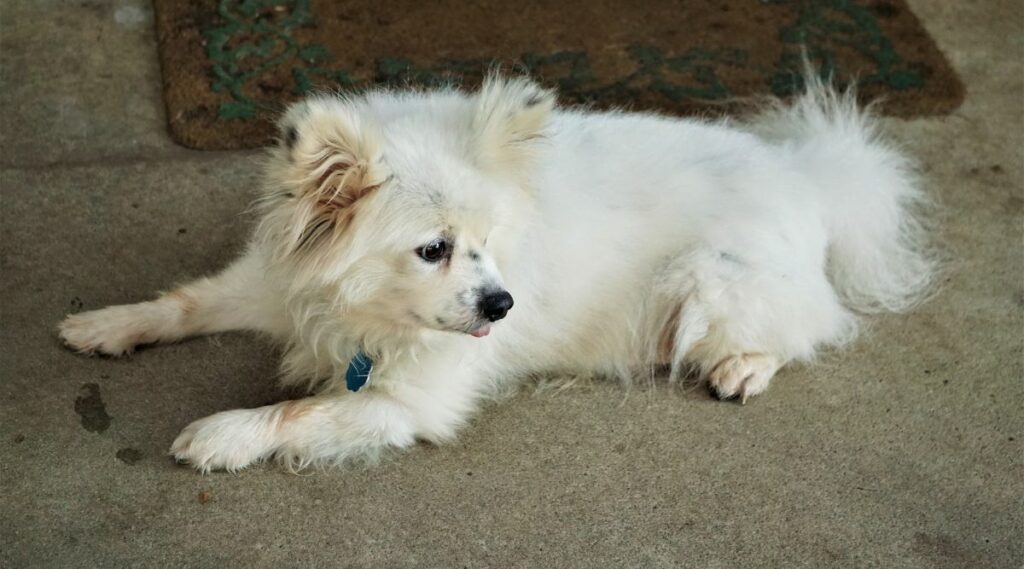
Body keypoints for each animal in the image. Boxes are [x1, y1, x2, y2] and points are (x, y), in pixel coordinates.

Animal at [56, 73, 937, 470]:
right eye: (434, 249)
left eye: (490, 240)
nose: (503, 304)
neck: (360, 313)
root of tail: (811, 175)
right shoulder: (273, 280)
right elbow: (184, 301)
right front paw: (107, 325)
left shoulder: (405, 403)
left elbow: (294, 411)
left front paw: (223, 433)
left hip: (710, 288)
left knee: (808, 324)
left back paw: (744, 366)